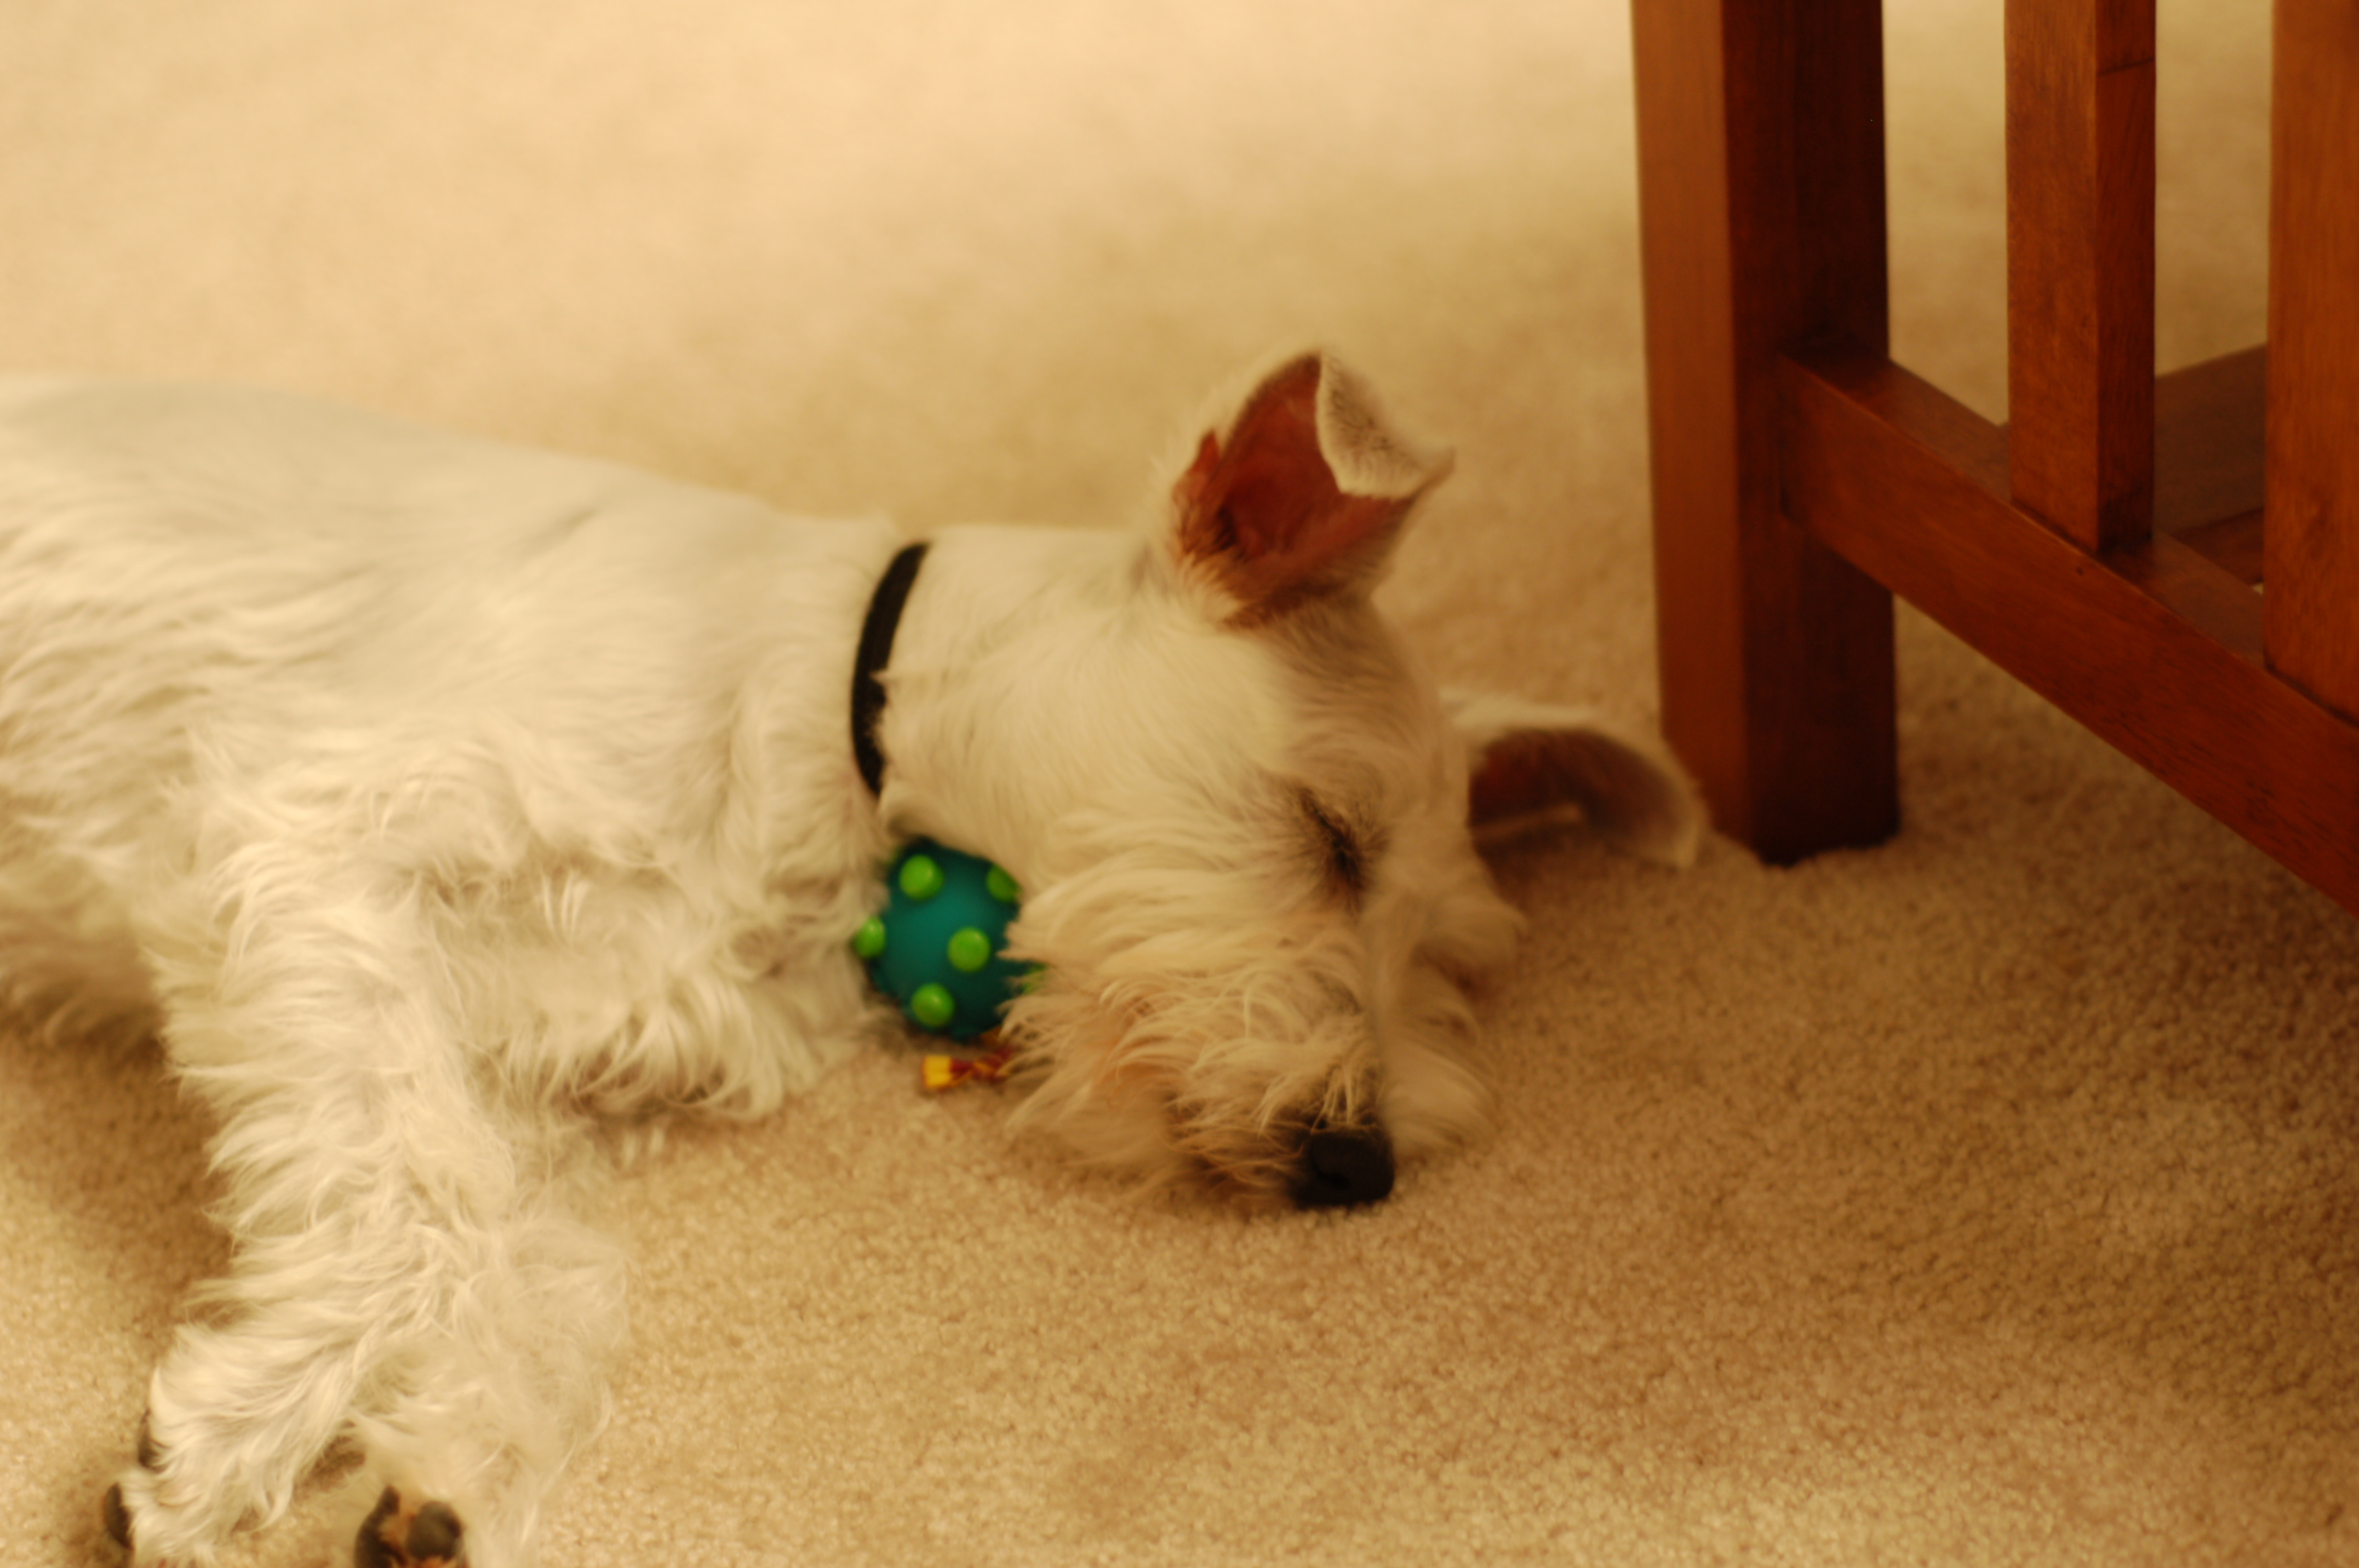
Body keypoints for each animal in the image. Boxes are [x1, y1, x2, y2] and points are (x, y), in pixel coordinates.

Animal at [0, 351, 1699, 1567]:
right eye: (1330, 834)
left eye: (1447, 960)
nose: (1361, 1167)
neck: (826, 704)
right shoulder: (306, 848)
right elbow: (418, 1216)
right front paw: (227, 1446)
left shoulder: (525, 1062)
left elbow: (533, 1266)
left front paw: (445, 1486)